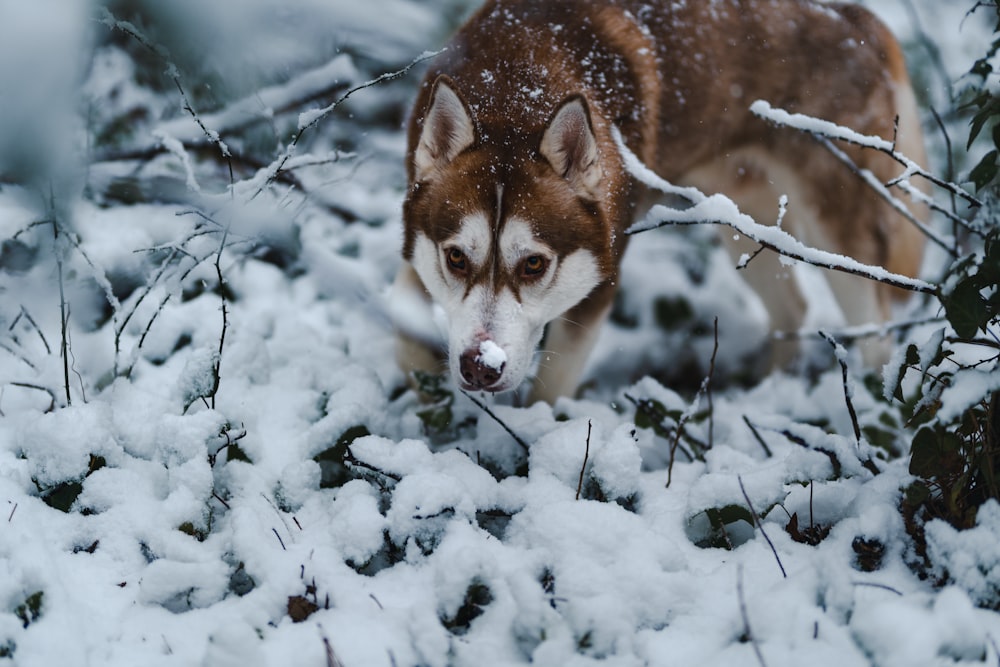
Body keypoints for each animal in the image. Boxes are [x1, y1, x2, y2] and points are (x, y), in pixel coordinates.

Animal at [388, 0, 920, 408]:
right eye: (456, 258)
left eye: (534, 265)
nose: (481, 368)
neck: (517, 84)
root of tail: (860, 19)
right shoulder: (415, 245)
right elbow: (405, 334)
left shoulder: (598, 282)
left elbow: (550, 392)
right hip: (739, 219)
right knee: (792, 307)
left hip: (840, 236)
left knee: (876, 331)